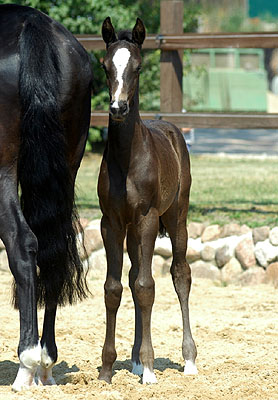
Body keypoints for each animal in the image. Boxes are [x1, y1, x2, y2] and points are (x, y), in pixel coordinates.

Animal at [97, 18, 198, 384]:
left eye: (138, 67)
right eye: (105, 65)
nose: (118, 107)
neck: (127, 158)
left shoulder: (147, 218)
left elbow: (146, 286)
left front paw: (151, 368)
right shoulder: (111, 222)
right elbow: (115, 288)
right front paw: (107, 369)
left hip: (177, 217)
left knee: (180, 274)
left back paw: (189, 360)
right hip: (131, 231)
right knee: (133, 275)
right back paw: (135, 360)